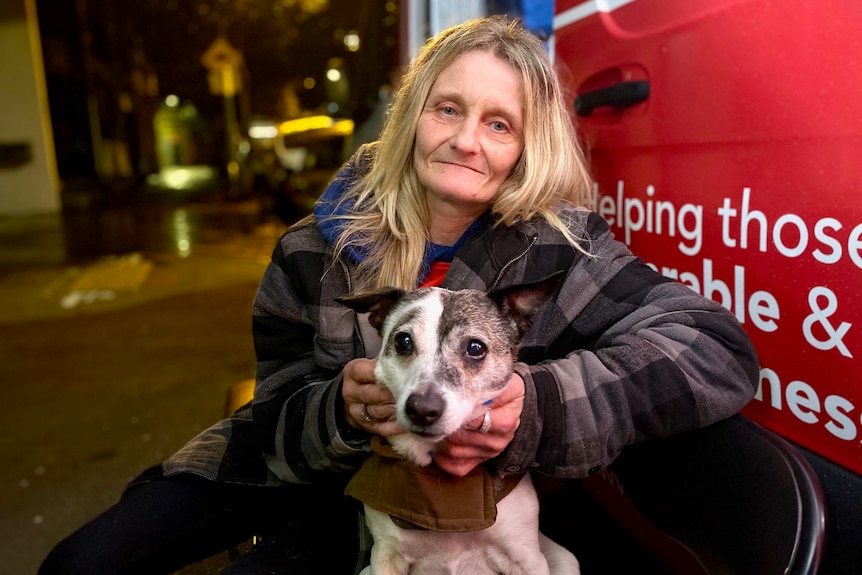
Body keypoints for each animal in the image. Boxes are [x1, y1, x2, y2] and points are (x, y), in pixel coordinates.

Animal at [338, 276, 580, 575]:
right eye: (403, 341)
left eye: (476, 348)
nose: (422, 409)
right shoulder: (385, 558)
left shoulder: (526, 559)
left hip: (565, 561)